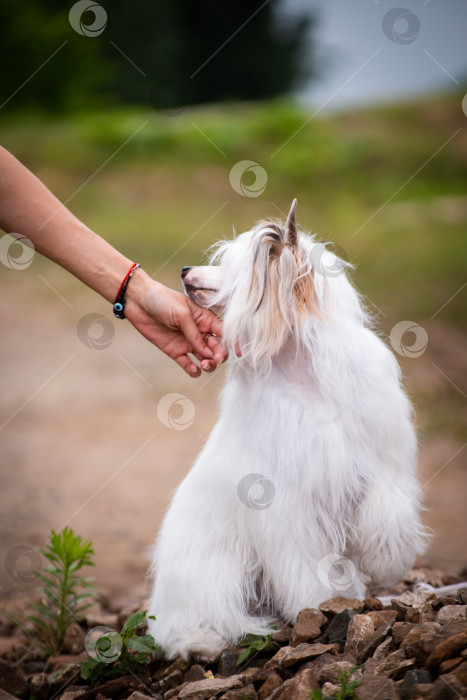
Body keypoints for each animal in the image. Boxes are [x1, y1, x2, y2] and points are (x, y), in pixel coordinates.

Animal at [149, 200, 428, 660]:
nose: (186, 270)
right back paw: (202, 640)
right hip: (210, 571)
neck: (305, 378)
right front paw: (321, 601)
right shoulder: (288, 505)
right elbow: (305, 564)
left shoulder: (383, 466)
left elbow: (387, 514)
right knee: (194, 620)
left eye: (234, 266)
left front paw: (388, 560)